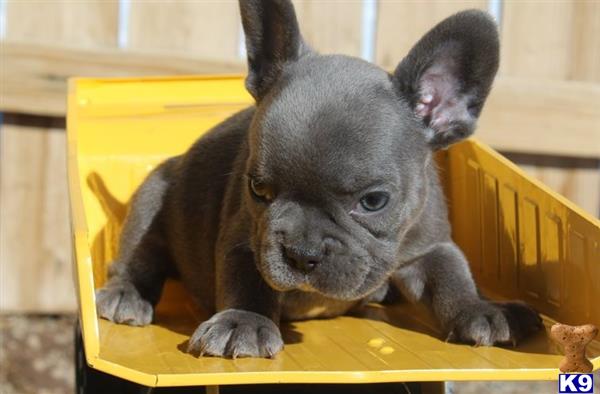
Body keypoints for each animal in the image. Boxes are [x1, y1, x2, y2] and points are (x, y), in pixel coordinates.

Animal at [95, 0, 544, 358]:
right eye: (257, 188)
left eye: (374, 201)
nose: (302, 253)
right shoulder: (243, 240)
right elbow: (247, 281)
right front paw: (243, 321)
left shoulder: (430, 245)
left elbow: (451, 277)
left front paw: (481, 309)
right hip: (152, 197)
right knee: (137, 256)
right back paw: (125, 294)